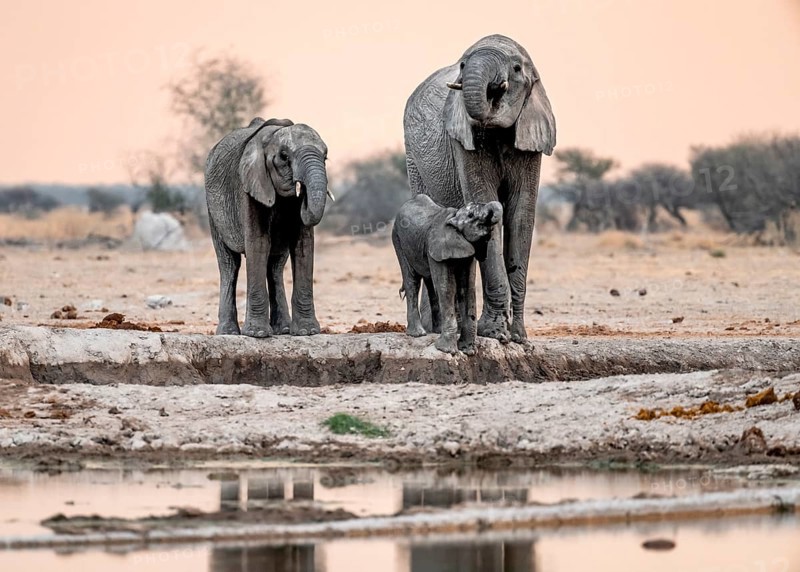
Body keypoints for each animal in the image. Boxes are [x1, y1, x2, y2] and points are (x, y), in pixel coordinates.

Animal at [205, 117, 332, 337]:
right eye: (284, 156)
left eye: (325, 156)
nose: (302, 190)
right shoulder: (251, 185)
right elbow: (258, 243)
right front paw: (257, 334)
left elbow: (303, 245)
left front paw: (307, 332)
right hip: (213, 211)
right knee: (229, 264)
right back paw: (228, 333)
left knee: (275, 266)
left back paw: (283, 329)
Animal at [392, 194, 503, 355]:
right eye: (471, 215)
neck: (454, 217)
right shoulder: (438, 248)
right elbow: (447, 288)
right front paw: (446, 350)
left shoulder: (467, 253)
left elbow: (466, 288)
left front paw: (467, 351)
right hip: (398, 239)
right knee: (412, 281)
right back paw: (418, 334)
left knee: (430, 283)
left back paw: (437, 331)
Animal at [403, 34, 556, 343]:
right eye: (462, 65)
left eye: (517, 68)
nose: (493, 91)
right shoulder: (465, 139)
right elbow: (483, 199)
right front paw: (495, 333)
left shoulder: (530, 137)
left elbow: (521, 216)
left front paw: (519, 337)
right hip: (413, 158)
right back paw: (431, 328)